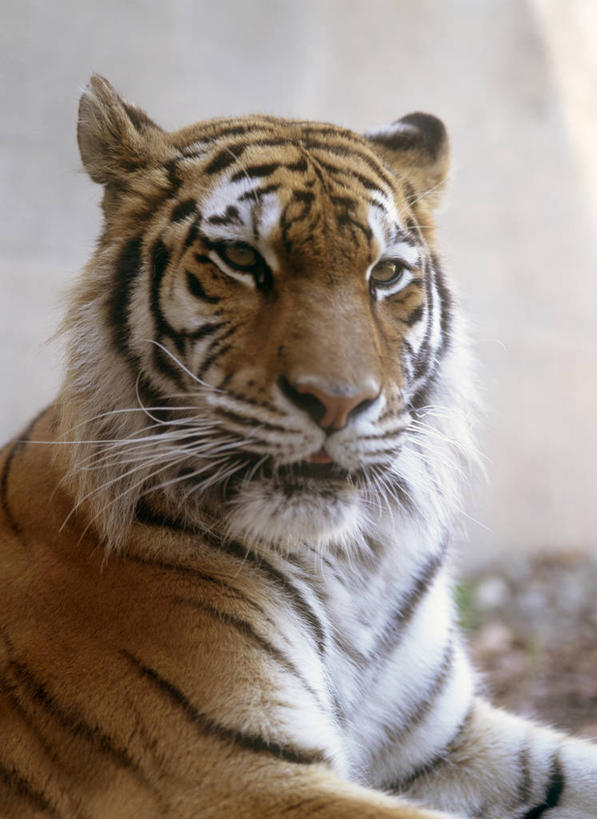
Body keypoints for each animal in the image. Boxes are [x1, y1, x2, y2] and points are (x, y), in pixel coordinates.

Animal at [0, 73, 595, 819]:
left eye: (385, 274)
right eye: (241, 259)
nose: (337, 401)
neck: (352, 564)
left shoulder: (444, 741)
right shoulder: (234, 773)